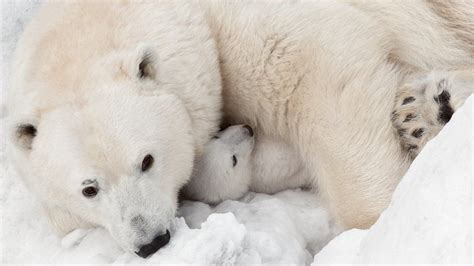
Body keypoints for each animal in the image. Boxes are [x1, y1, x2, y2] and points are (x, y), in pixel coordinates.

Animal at [7, 0, 474, 258]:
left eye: (147, 160)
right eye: (89, 189)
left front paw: (378, 224)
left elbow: (323, 79)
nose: (151, 243)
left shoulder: (249, 33)